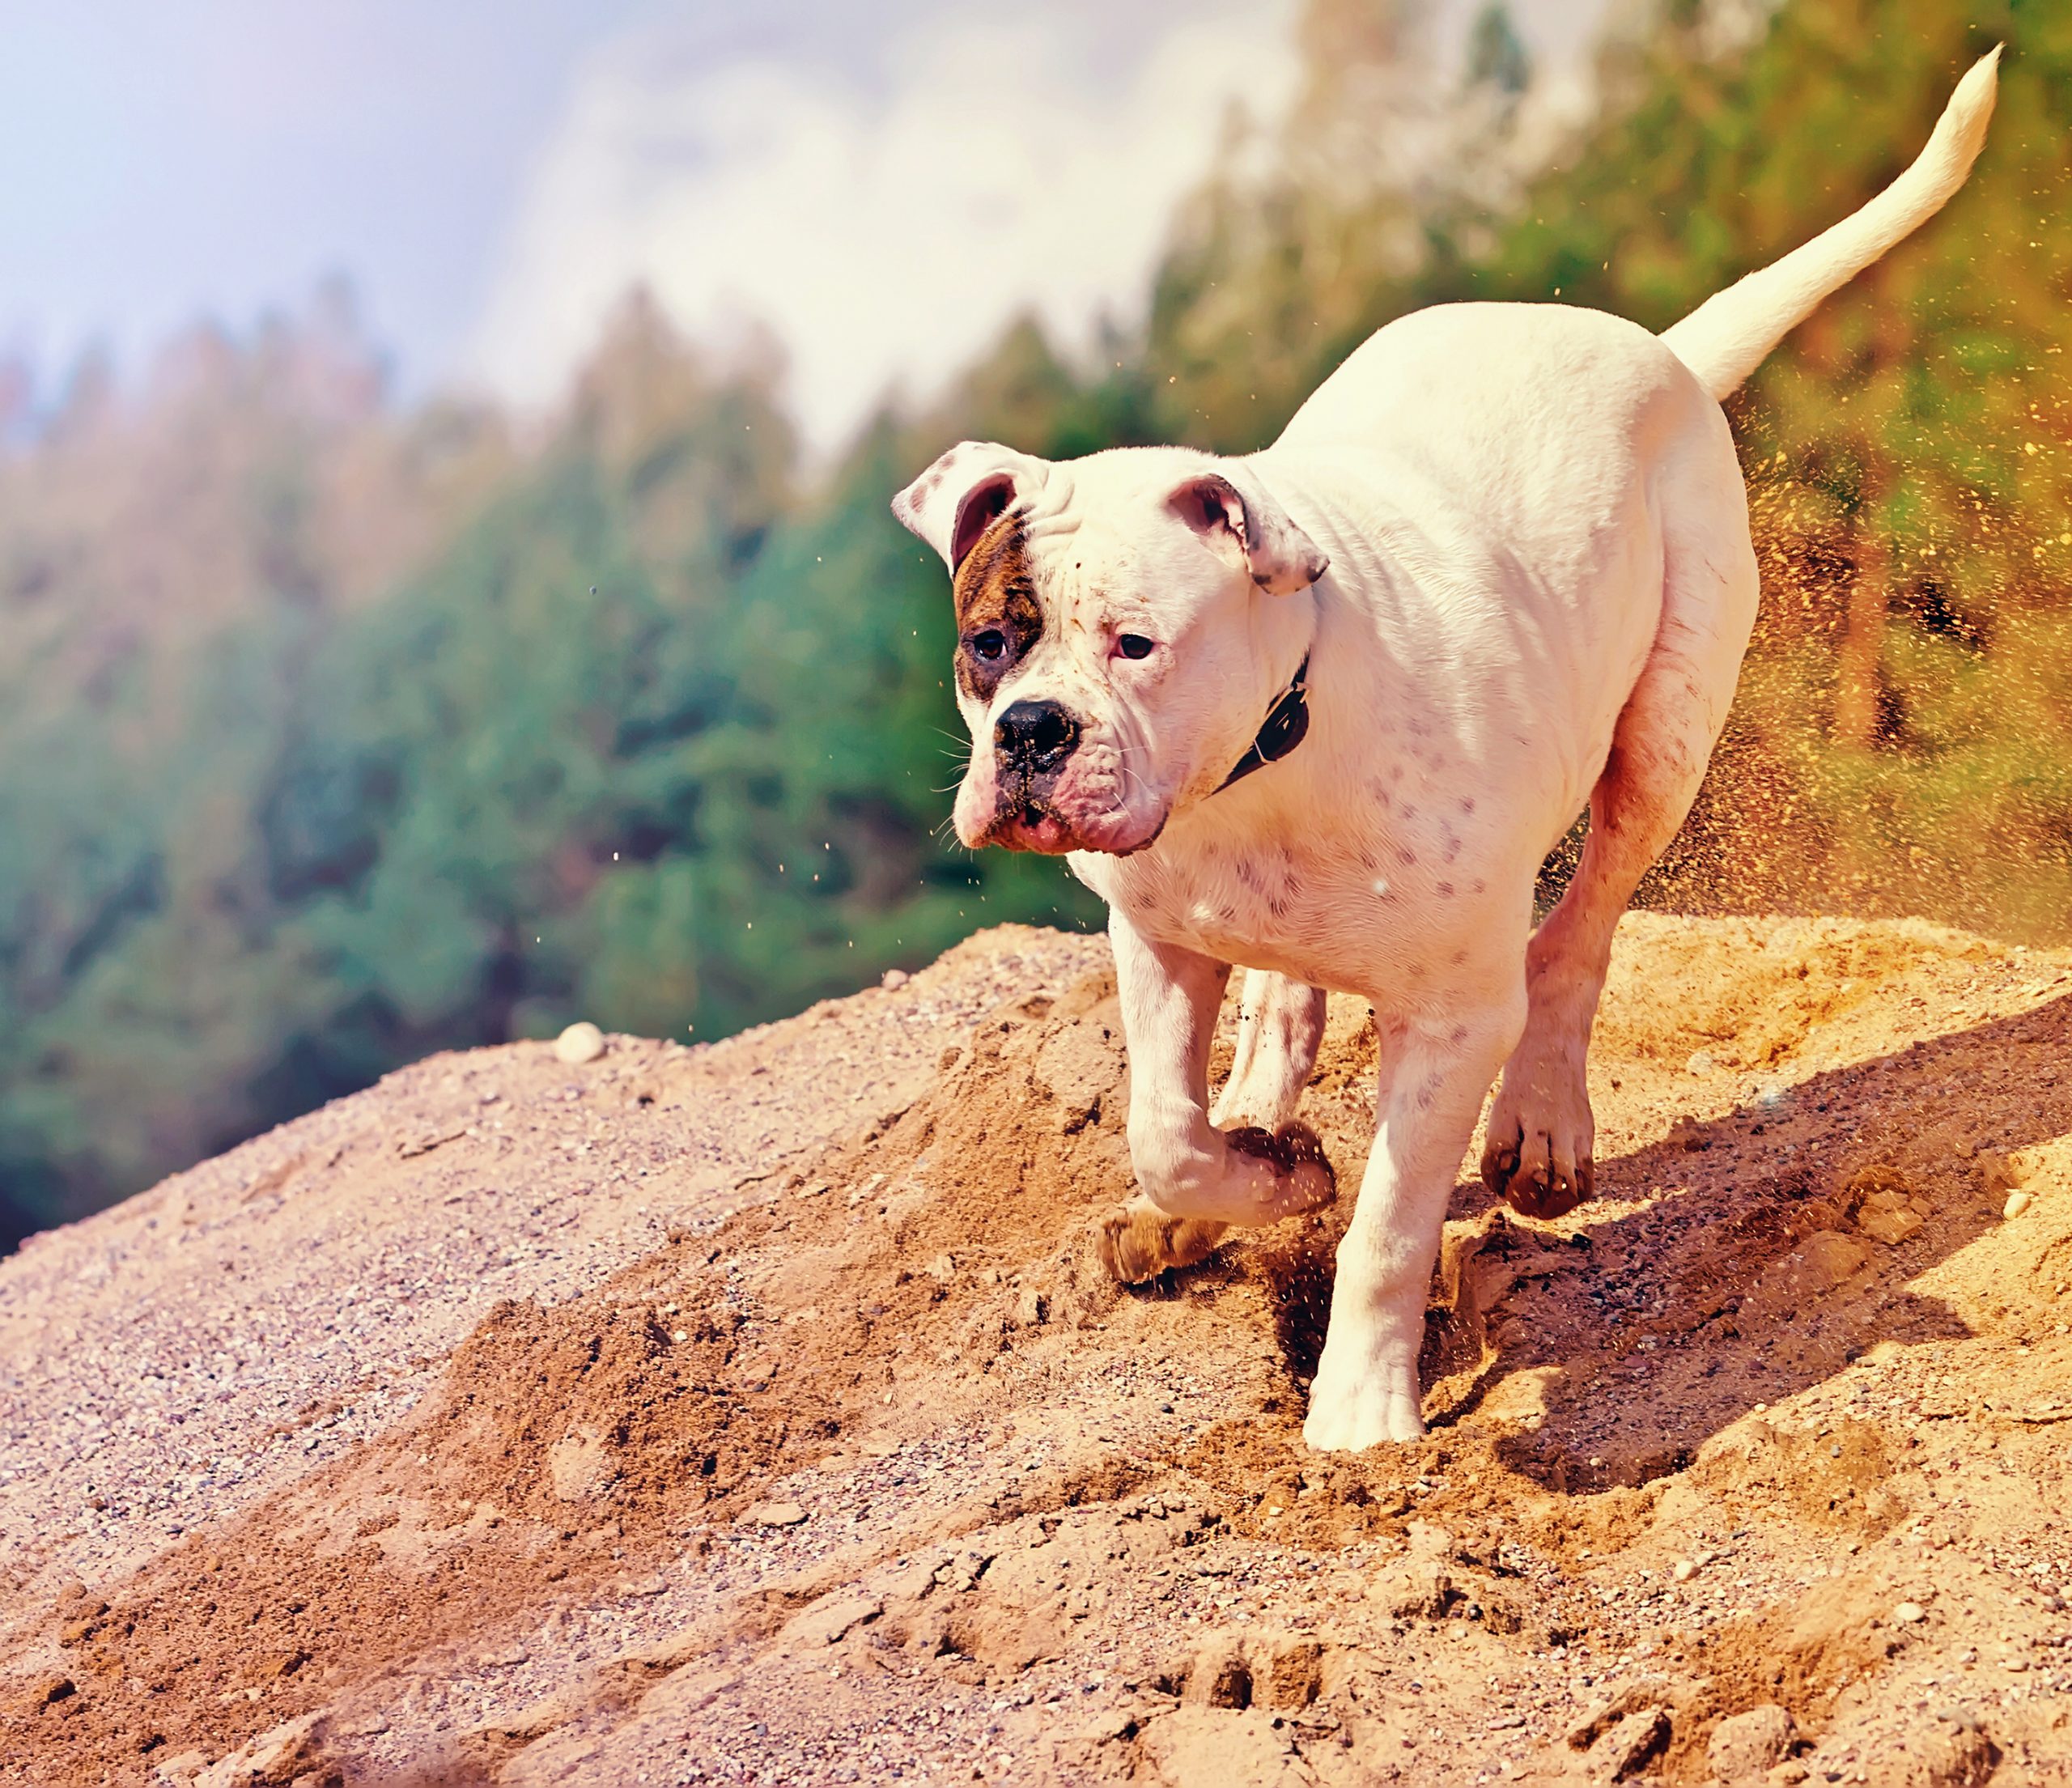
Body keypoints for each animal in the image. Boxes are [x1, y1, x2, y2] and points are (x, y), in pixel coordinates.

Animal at [899, 52, 1997, 1459]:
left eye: (1135, 643)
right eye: (990, 642)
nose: (1033, 731)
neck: (1262, 764)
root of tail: (1653, 347)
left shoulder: (1453, 1016)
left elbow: (1386, 1226)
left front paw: (1360, 1413)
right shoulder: (1157, 936)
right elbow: (1164, 1126)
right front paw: (1256, 1172)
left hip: (1670, 723)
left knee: (1582, 927)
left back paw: (1541, 1121)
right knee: (1288, 1005)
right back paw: (1237, 1141)